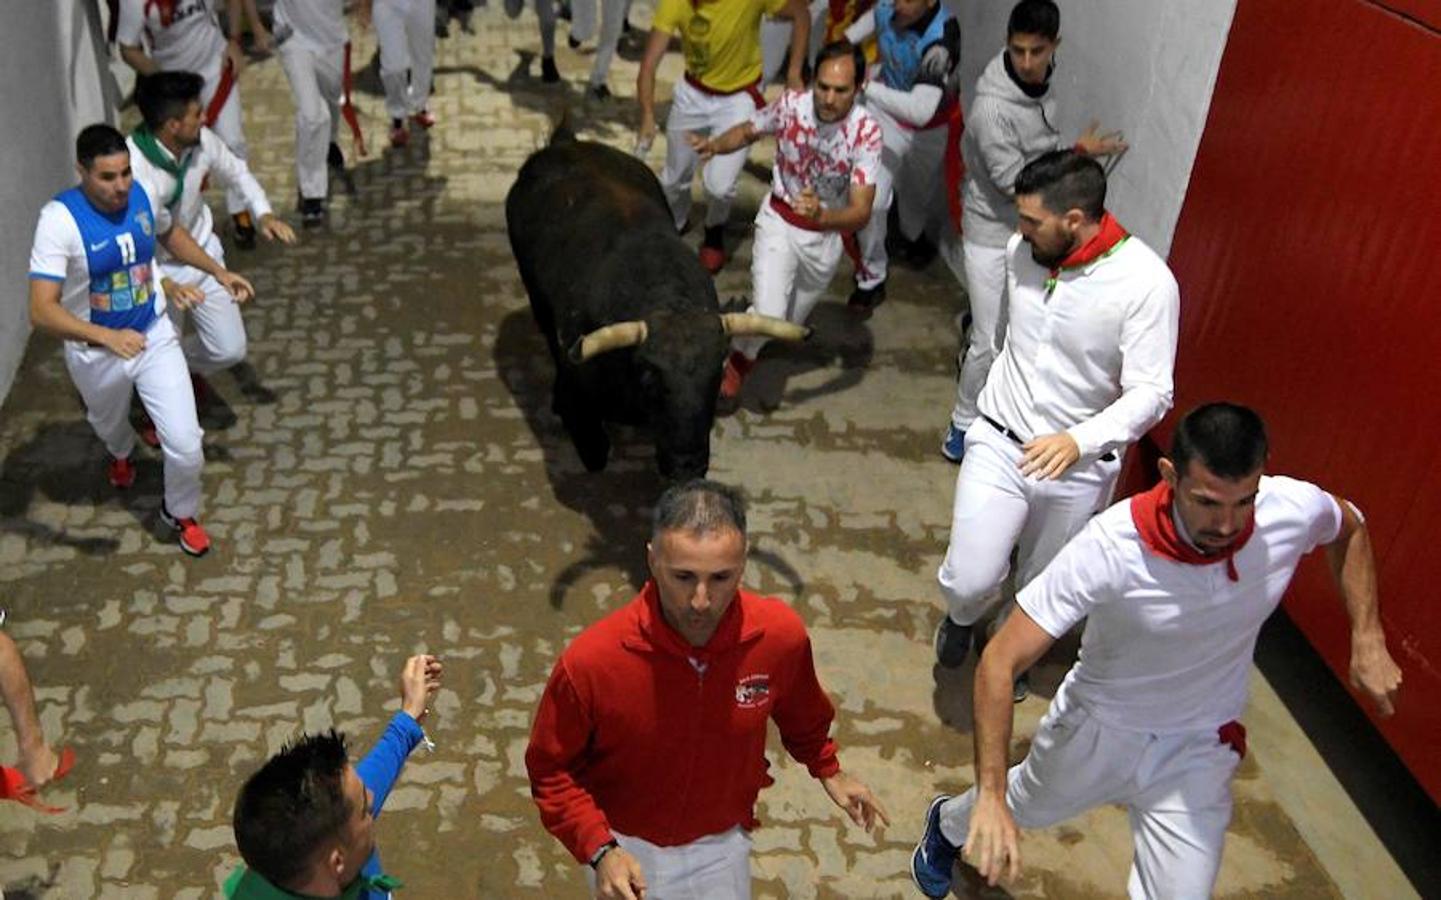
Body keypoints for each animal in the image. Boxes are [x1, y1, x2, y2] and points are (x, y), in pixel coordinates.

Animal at [507, 124, 806, 483]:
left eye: (718, 371)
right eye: (650, 376)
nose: (686, 465)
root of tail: (566, 143)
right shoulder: (578, 398)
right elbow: (595, 452)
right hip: (534, 292)